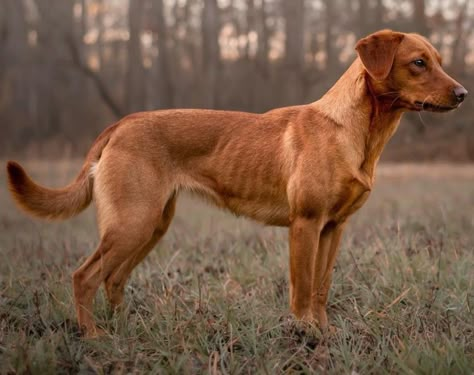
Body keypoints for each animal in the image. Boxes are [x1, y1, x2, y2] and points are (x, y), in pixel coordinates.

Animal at [6, 30, 466, 338]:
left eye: (439, 60)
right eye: (419, 63)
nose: (463, 93)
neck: (356, 133)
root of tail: (119, 125)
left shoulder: (334, 228)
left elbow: (321, 288)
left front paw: (324, 334)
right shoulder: (305, 224)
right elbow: (302, 290)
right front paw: (304, 335)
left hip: (151, 224)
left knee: (112, 280)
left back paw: (126, 329)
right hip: (132, 222)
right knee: (83, 277)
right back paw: (94, 336)